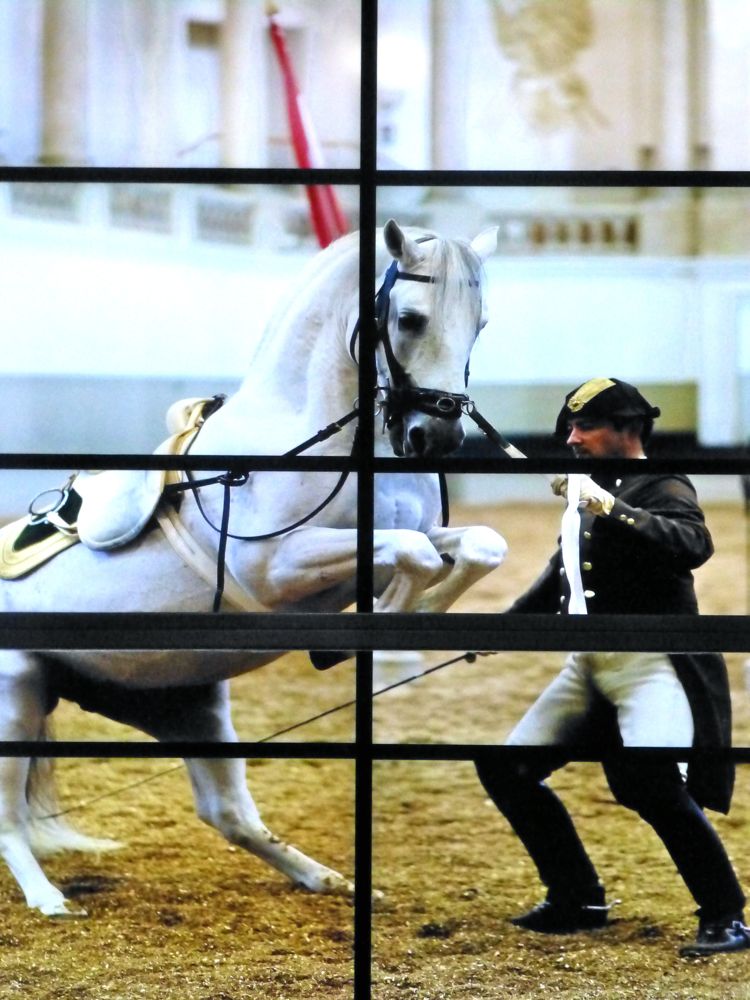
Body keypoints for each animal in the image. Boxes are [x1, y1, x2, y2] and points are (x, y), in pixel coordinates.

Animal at [0, 219, 512, 916]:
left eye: (481, 323)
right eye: (409, 318)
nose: (435, 439)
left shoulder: (395, 545)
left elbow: (475, 544)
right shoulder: (277, 571)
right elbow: (415, 552)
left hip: (189, 704)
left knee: (229, 814)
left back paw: (332, 881)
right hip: (17, 694)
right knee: (8, 817)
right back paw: (50, 899)